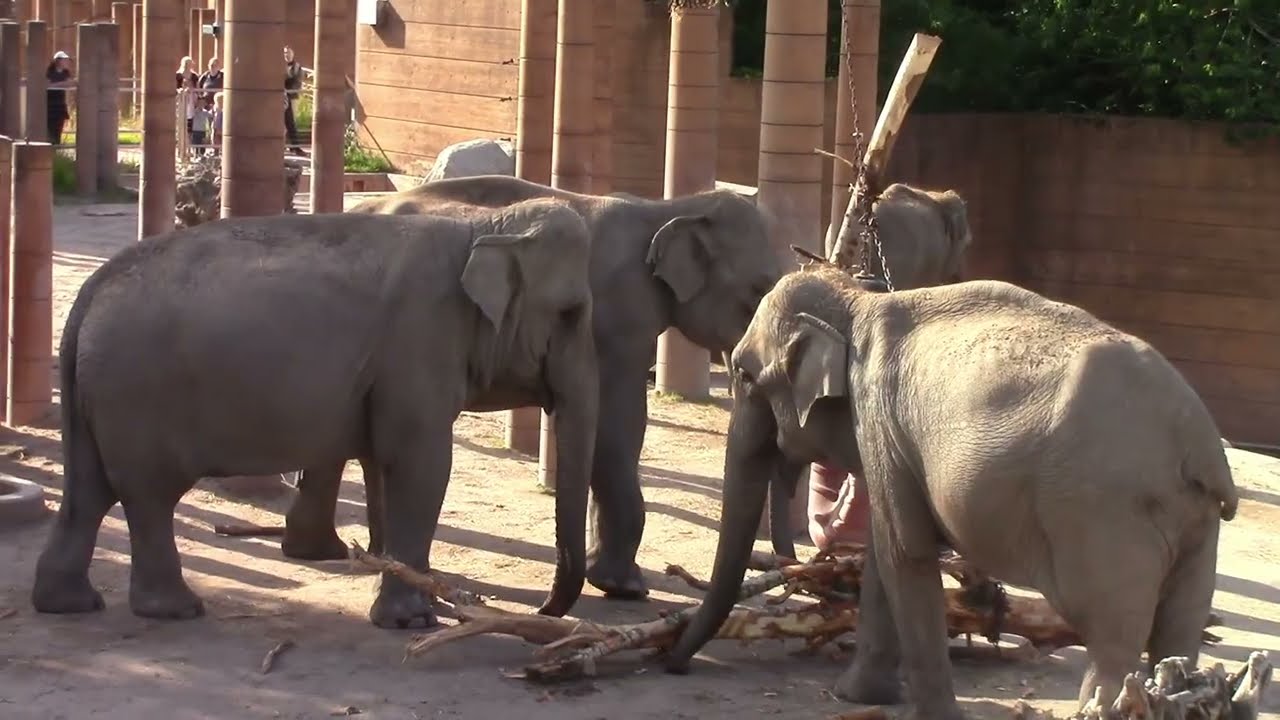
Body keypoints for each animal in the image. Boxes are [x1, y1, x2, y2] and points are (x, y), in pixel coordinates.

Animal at [31, 201, 599, 630]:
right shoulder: (422, 341)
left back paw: (69, 604)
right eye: (570, 313)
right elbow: (422, 464)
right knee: (148, 496)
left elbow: (383, 458)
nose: (543, 609)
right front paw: (413, 621)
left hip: (95, 397)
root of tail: (88, 295)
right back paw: (176, 610)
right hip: (137, 397)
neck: (484, 226)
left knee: (88, 490)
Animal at [280, 174, 781, 600]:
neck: (669, 208)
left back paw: (322, 551)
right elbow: (620, 426)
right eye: (758, 292)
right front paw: (625, 587)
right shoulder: (618, 319)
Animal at [664, 264, 1239, 718]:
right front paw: (857, 695)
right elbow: (886, 554)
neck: (856, 298)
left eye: (743, 375)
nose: (674, 668)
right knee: (1178, 632)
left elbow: (905, 553)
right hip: (1196, 521)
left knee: (1113, 639)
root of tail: (1197, 441)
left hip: (1103, 515)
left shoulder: (879, 420)